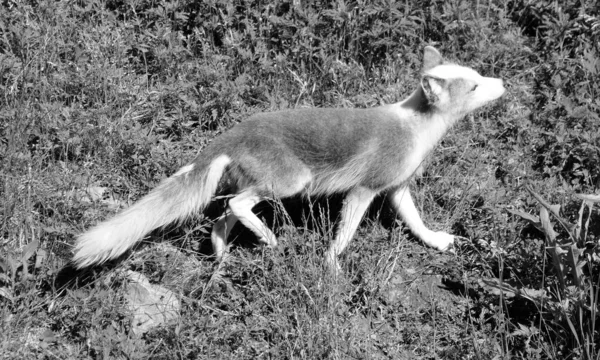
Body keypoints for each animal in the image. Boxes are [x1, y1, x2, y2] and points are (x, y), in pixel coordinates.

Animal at [71, 47, 506, 272]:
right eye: (475, 85)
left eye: (478, 75)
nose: (504, 82)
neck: (416, 128)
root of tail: (228, 134)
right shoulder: (364, 190)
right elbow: (345, 236)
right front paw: (331, 267)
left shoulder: (396, 187)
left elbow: (416, 221)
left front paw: (436, 241)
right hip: (290, 182)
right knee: (236, 205)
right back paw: (268, 238)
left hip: (257, 187)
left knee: (221, 219)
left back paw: (223, 254)